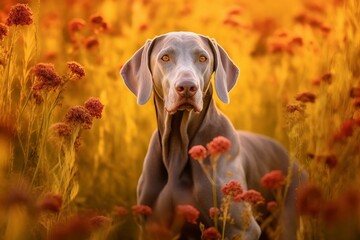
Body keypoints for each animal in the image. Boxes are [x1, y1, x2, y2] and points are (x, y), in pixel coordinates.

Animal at [119, 31, 300, 238]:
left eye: (202, 58)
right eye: (165, 57)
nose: (187, 87)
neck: (177, 151)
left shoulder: (243, 229)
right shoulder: (153, 229)